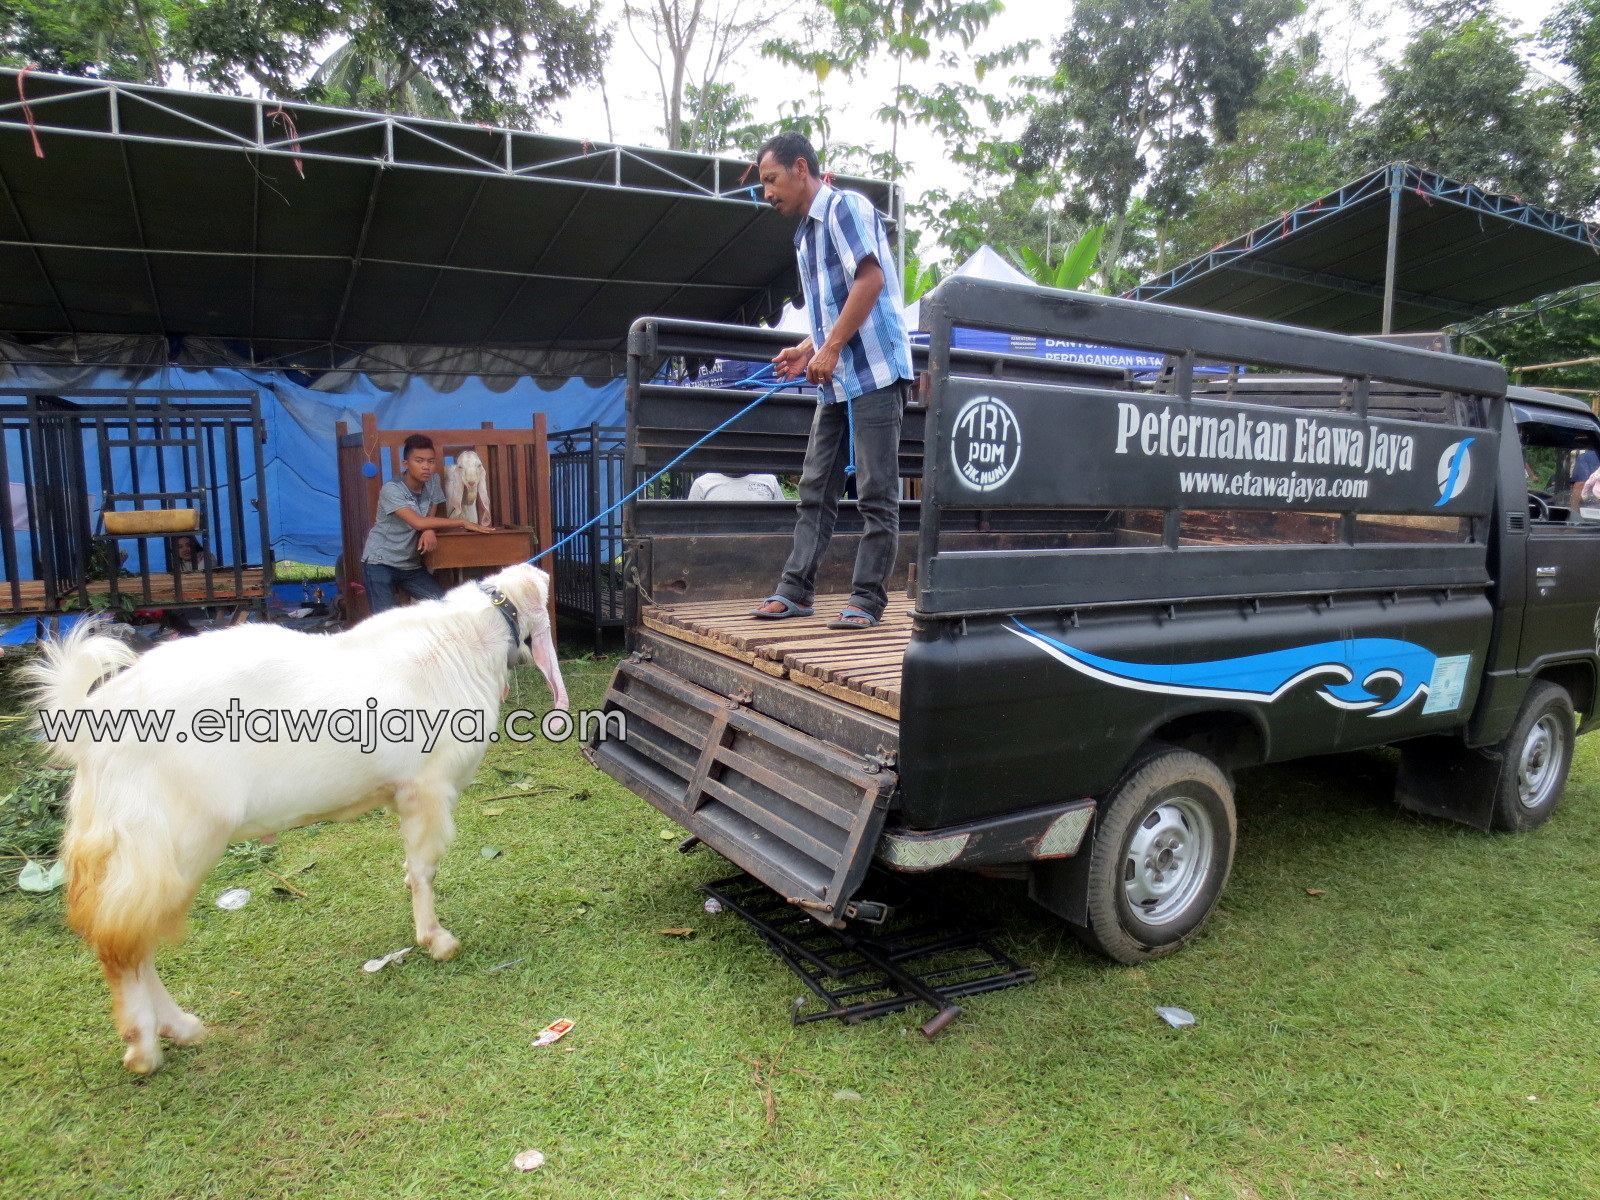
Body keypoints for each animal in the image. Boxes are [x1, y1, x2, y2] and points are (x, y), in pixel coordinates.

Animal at [21, 566, 569, 1081]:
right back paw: (146, 1047)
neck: (462, 642)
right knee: (126, 940)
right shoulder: (427, 789)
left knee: (132, 935)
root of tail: (88, 718)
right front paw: (436, 940)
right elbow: (424, 870)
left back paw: (178, 1028)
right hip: (169, 835)